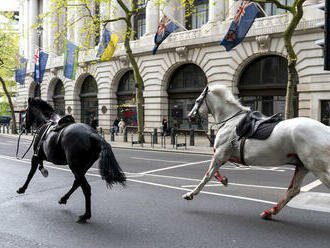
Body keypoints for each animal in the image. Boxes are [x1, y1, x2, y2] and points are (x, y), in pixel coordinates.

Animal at [182, 85, 330, 219]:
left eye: (197, 100)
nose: (190, 117)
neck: (231, 121)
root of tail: (326, 129)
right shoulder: (224, 155)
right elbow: (214, 172)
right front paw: (223, 179)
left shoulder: (220, 153)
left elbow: (207, 175)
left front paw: (191, 194)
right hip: (303, 166)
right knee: (293, 190)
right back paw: (270, 212)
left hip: (317, 167)